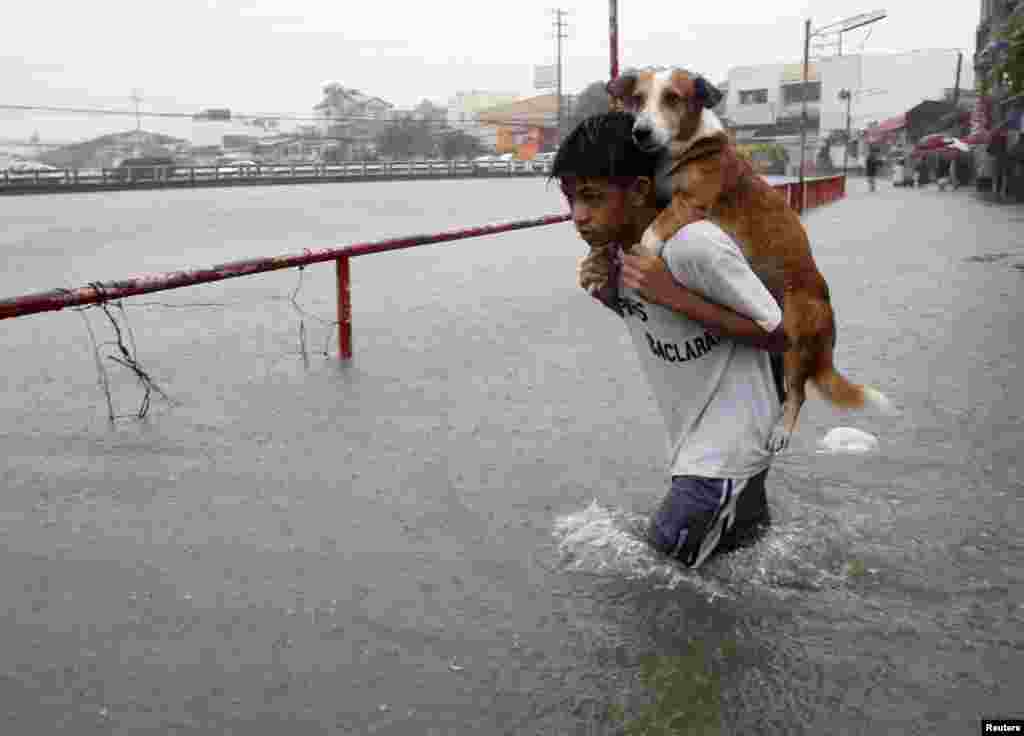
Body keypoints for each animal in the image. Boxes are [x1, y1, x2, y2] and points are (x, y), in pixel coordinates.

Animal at [598, 66, 892, 452]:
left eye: (673, 98)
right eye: (637, 98)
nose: (640, 132)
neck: (687, 147)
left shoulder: (689, 204)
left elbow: (651, 233)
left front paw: (642, 258)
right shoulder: (662, 198)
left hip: (794, 336)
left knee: (799, 394)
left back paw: (782, 430)